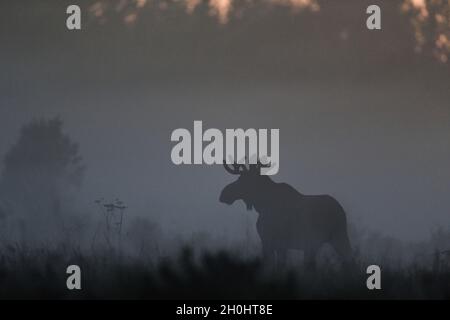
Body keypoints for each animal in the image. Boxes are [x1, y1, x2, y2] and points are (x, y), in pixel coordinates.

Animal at [220, 161, 354, 268]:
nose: (223, 193)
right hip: (327, 240)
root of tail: (340, 211)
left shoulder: (271, 241)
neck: (262, 205)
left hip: (329, 238)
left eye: (242, 179)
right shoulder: (277, 244)